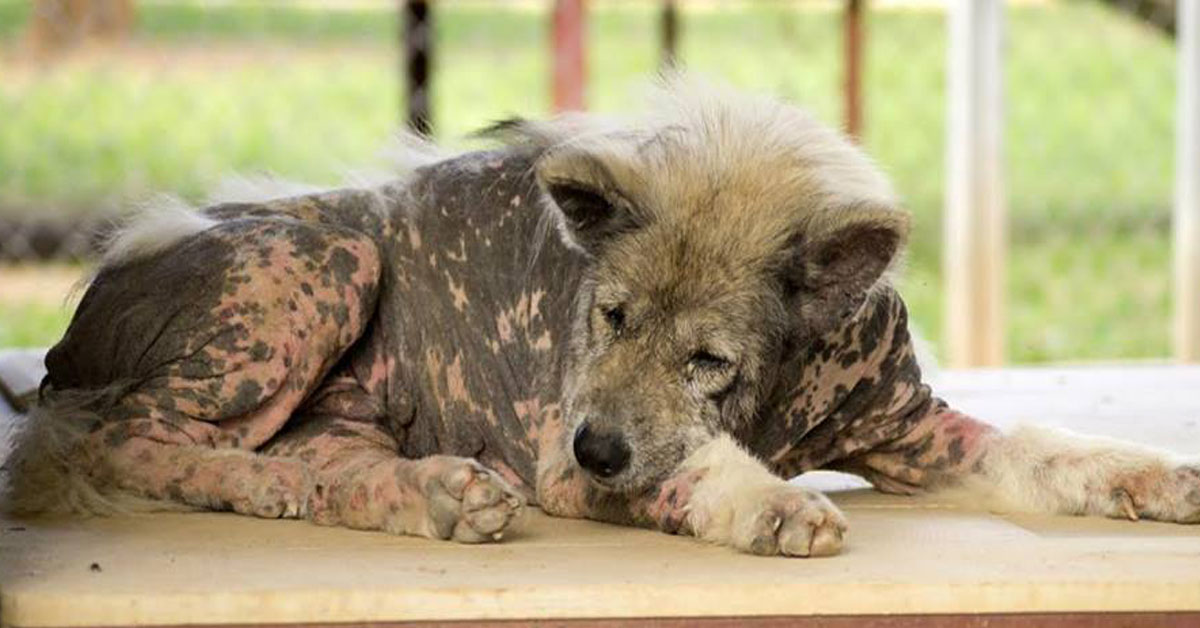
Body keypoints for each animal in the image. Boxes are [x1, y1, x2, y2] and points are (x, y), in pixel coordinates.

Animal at [4, 77, 1195, 554]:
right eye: (610, 317)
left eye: (708, 356)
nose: (599, 443)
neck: (781, 393)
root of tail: (70, 338)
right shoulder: (558, 456)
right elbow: (690, 467)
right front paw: (772, 508)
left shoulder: (917, 428)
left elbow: (1045, 447)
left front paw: (1160, 480)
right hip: (325, 260)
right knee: (105, 442)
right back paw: (261, 483)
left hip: (346, 408)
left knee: (320, 466)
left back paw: (436, 496)